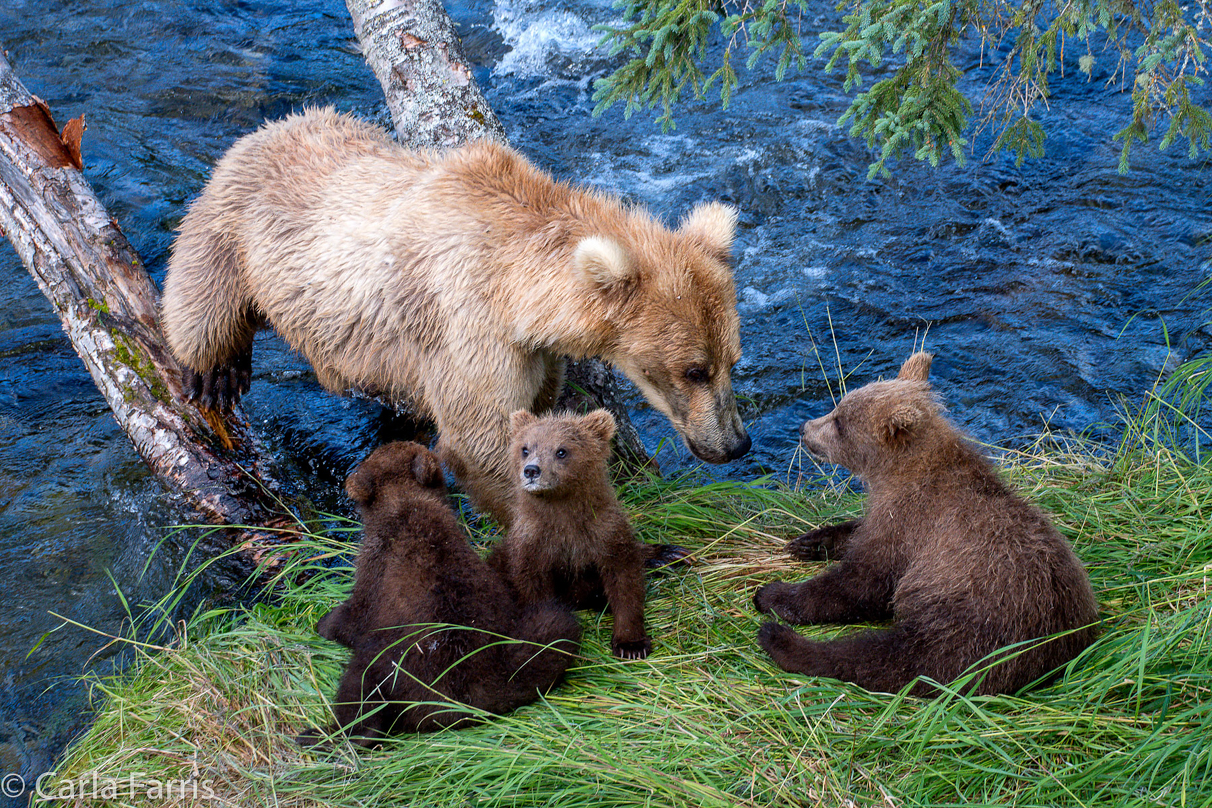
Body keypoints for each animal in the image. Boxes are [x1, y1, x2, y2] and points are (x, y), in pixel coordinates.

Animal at [161, 109, 746, 525]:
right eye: (693, 369)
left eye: (731, 360)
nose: (736, 444)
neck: (519, 292)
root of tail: (269, 125)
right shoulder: (468, 326)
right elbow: (481, 439)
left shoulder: (532, 352)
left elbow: (537, 410)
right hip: (233, 234)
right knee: (202, 301)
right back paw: (215, 375)